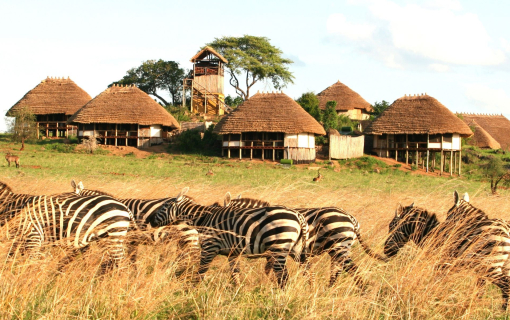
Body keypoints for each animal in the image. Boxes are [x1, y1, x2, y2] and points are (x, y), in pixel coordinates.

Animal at [153, 186, 308, 288]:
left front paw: (192, 292)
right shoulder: (233, 252)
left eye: (163, 207)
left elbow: (201, 272)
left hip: (279, 248)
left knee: (283, 276)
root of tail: (298, 216)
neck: (203, 218)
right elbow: (235, 273)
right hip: (296, 250)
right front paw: (238, 292)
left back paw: (281, 297)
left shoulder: (209, 247)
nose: (151, 221)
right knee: (306, 269)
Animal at [220, 192, 386, 288]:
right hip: (338, 248)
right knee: (339, 269)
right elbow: (269, 270)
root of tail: (351, 218)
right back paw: (331, 289)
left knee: (350, 268)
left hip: (339, 245)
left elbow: (269, 270)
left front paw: (269, 284)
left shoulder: (273, 251)